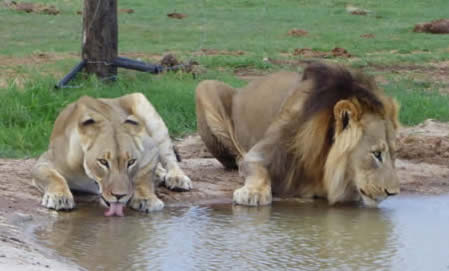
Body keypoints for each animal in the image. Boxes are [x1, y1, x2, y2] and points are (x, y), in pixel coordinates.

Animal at [30, 93, 192, 217]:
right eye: (103, 162)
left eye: (131, 162)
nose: (119, 196)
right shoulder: (45, 160)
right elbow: (53, 176)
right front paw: (60, 197)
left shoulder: (150, 149)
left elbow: (143, 177)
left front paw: (147, 199)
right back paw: (159, 174)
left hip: (145, 107)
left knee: (169, 156)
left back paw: (177, 178)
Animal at [196, 62, 400, 207]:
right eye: (376, 154)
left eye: (392, 154)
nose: (393, 193)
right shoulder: (261, 154)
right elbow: (258, 170)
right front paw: (253, 193)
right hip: (205, 86)